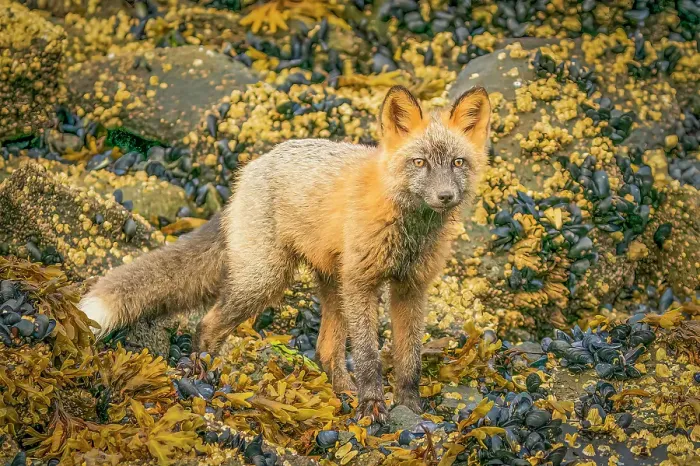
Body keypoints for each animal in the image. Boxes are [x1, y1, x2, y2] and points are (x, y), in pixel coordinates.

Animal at [78, 85, 491, 423]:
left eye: (457, 163)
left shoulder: (411, 287)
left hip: (330, 285)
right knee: (208, 323)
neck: (408, 230)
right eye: (419, 162)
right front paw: (373, 406)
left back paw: (341, 391)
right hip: (268, 279)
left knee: (325, 350)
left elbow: (409, 359)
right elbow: (369, 357)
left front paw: (411, 407)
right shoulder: (362, 283)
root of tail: (251, 168)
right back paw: (204, 373)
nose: (445, 197)